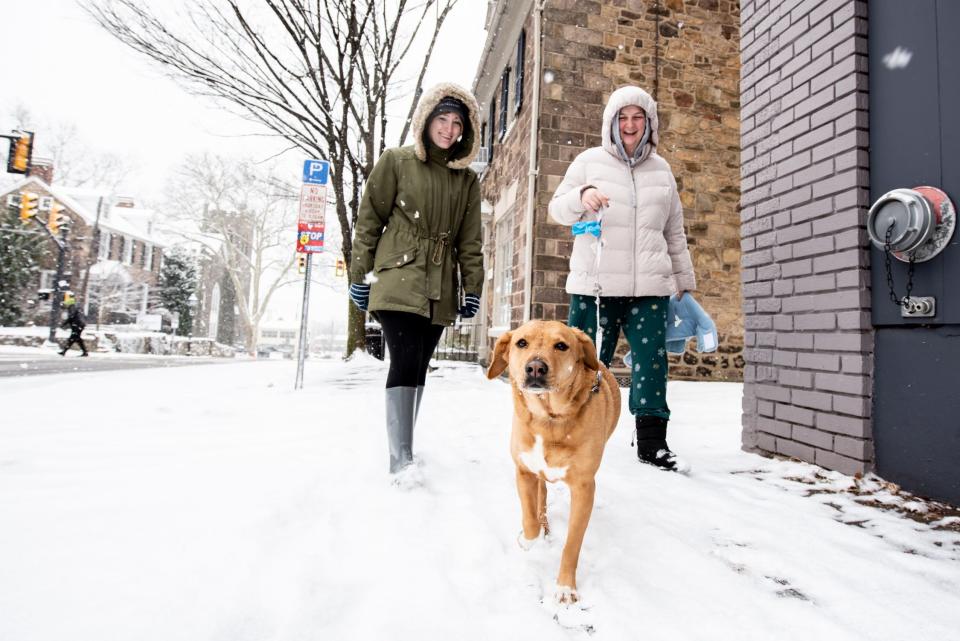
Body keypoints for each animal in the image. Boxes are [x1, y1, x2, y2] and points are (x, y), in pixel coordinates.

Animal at [488, 320, 624, 604]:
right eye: (521, 342)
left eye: (561, 345)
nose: (535, 367)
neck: (548, 419)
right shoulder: (525, 471)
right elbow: (529, 520)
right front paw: (527, 540)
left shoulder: (584, 488)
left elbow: (572, 544)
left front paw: (565, 587)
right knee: (540, 501)